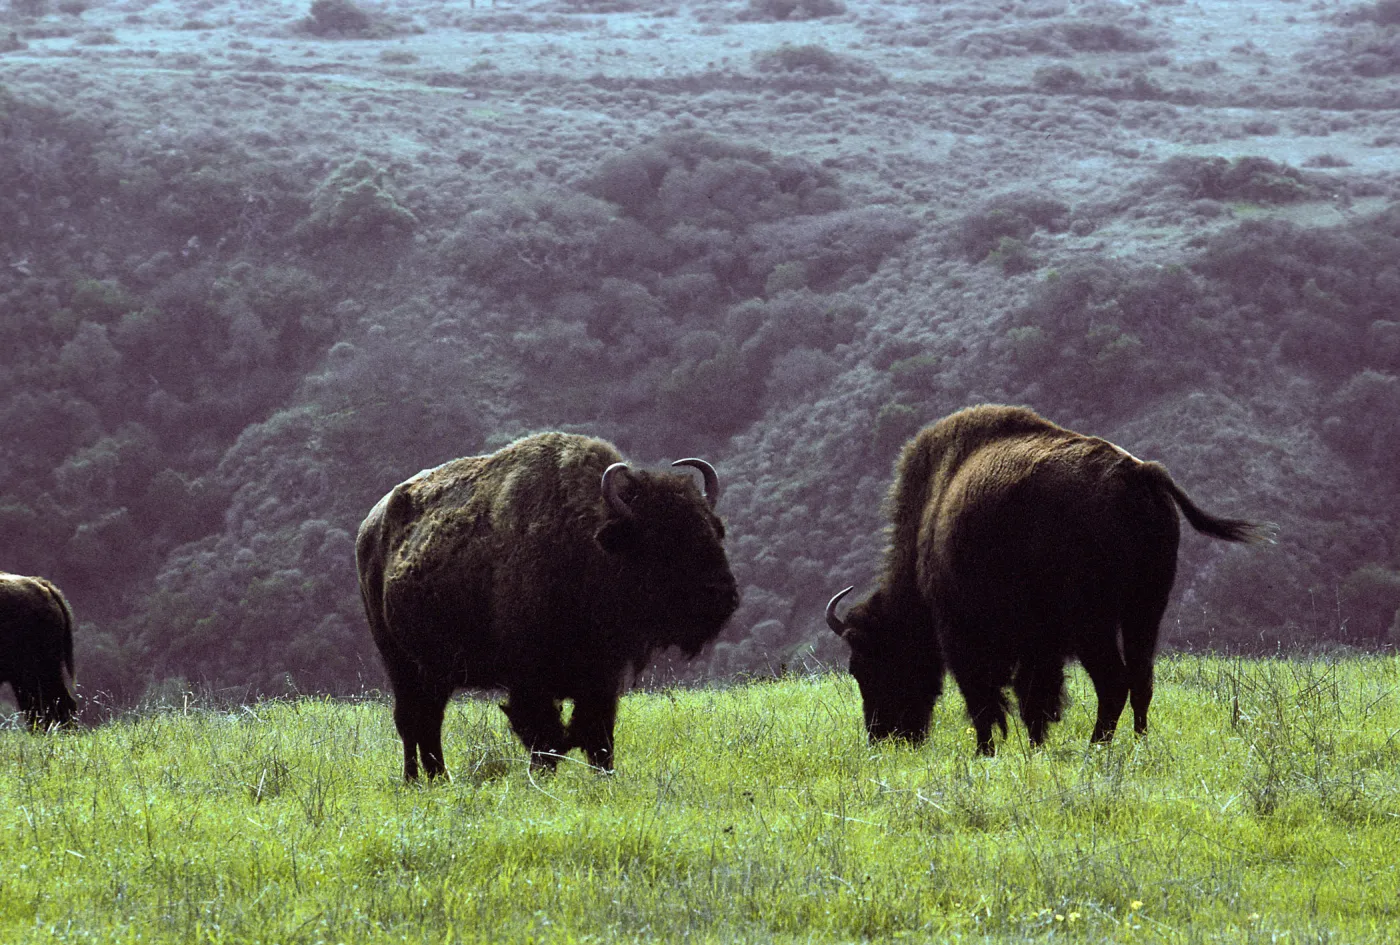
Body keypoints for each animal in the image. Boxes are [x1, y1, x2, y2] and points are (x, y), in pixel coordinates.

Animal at [356, 432, 739, 779]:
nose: (724, 594)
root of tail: (370, 527)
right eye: (663, 539)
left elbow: (598, 736)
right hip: (399, 661)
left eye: (714, 528)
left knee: (429, 720)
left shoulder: (602, 677)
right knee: (410, 720)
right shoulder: (530, 681)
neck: (589, 541)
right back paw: (414, 780)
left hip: (435, 672)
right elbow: (547, 738)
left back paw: (439, 779)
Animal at [827, 404, 1272, 755]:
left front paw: (985, 751)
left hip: (1094, 624)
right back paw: (1138, 745)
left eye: (865, 664)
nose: (882, 735)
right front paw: (1035, 746)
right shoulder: (1039, 644)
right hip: (1145, 611)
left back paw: (1097, 749)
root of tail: (1142, 473)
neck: (930, 516)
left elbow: (986, 697)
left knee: (1114, 682)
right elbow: (1034, 695)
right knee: (1141, 679)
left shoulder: (963, 635)